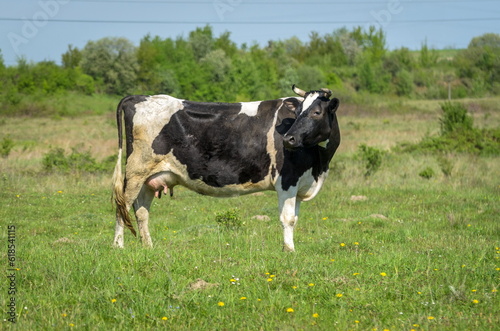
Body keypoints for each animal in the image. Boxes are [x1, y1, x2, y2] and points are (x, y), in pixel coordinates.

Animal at [112, 85, 340, 252]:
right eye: (298, 112)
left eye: (317, 112)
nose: (288, 139)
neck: (319, 166)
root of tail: (140, 97)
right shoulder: (287, 180)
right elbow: (288, 219)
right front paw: (289, 251)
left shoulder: (300, 183)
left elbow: (295, 218)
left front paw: (289, 248)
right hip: (136, 171)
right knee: (123, 206)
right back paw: (118, 246)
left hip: (149, 178)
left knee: (141, 211)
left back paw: (148, 247)